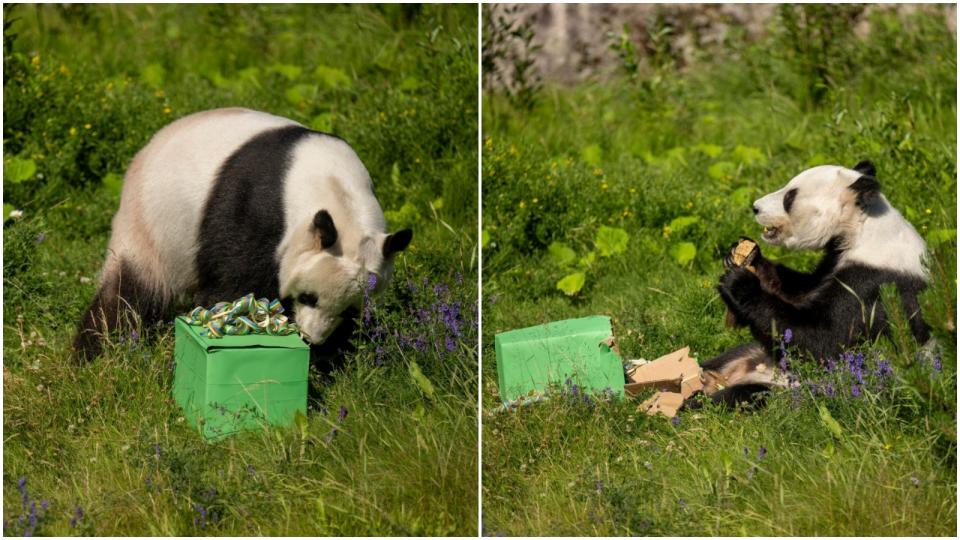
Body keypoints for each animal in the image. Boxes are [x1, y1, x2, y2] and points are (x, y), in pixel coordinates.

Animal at [688, 162, 932, 408]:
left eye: (789, 197)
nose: (755, 207)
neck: (863, 229)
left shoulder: (876, 284)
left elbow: (826, 344)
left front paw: (741, 284)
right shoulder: (833, 259)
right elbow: (800, 290)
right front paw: (748, 256)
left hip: (793, 391)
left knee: (743, 396)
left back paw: (694, 402)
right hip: (750, 352)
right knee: (720, 359)